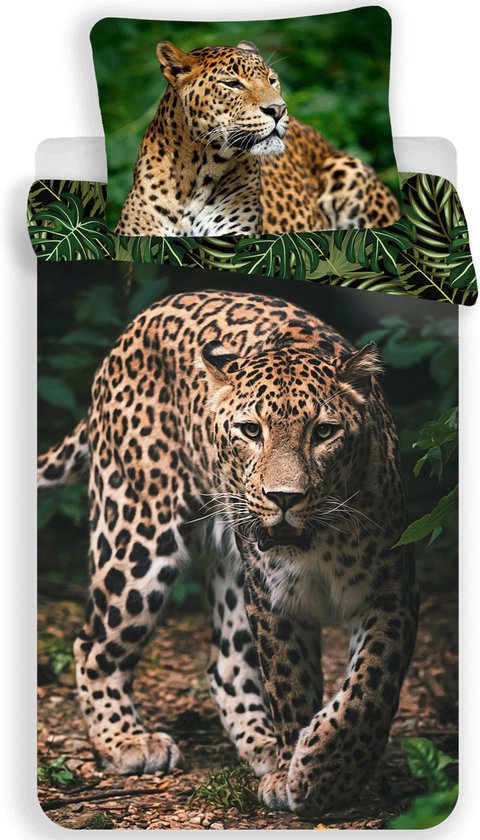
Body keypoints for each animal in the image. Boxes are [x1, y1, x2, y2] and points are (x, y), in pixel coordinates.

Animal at [38, 290, 418, 814]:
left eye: (324, 432)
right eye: (250, 430)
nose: (284, 498)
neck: (318, 543)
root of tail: (136, 324)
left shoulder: (390, 591)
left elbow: (370, 688)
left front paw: (324, 769)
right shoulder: (274, 601)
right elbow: (291, 686)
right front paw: (302, 772)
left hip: (230, 569)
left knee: (226, 665)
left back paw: (262, 747)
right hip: (136, 534)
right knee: (93, 643)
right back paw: (127, 741)